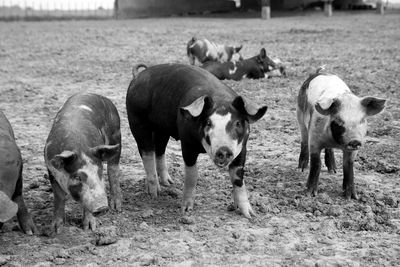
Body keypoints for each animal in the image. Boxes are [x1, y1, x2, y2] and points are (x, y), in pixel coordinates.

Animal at [44, 93, 121, 233]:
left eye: (99, 172)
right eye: (77, 177)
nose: (102, 208)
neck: (79, 148)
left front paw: (89, 228)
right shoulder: (50, 168)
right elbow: (59, 196)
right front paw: (56, 229)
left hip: (116, 133)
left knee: (113, 169)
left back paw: (116, 207)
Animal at [126, 63, 268, 219]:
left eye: (237, 123)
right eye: (208, 123)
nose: (223, 149)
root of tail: (138, 76)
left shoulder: (242, 147)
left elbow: (237, 178)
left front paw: (250, 214)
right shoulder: (187, 144)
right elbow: (192, 175)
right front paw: (186, 210)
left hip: (162, 129)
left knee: (160, 150)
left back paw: (169, 183)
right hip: (136, 121)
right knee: (147, 153)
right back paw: (155, 193)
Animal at [296, 68, 386, 200]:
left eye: (362, 120)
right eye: (339, 121)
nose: (354, 140)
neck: (336, 142)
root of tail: (320, 71)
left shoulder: (353, 150)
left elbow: (348, 166)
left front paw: (352, 197)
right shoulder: (314, 139)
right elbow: (316, 164)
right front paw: (310, 194)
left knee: (329, 150)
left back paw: (333, 170)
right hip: (300, 117)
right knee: (303, 141)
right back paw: (301, 169)